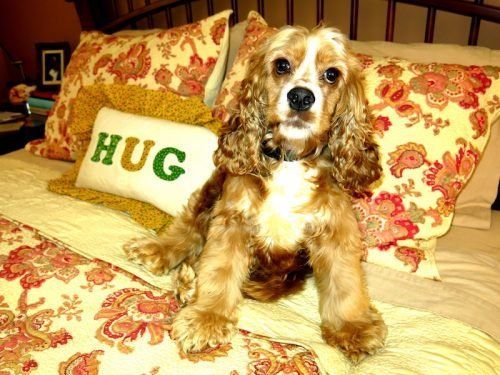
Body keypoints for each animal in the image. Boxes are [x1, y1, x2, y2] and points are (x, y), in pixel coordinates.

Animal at [124, 25, 386, 362]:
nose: (301, 97)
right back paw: (157, 251)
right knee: (187, 230)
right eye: (281, 65)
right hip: (210, 191)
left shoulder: (335, 229)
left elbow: (344, 280)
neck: (290, 159)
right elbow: (219, 269)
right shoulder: (233, 218)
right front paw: (206, 318)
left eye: (332, 74)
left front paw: (353, 328)